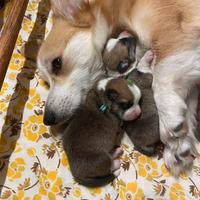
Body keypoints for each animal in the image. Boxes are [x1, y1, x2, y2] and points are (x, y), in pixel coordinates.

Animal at [37, 0, 200, 175]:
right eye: (47, 83)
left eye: (57, 63)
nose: (47, 119)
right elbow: (187, 106)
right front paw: (179, 146)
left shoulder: (172, 32)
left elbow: (161, 76)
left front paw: (170, 123)